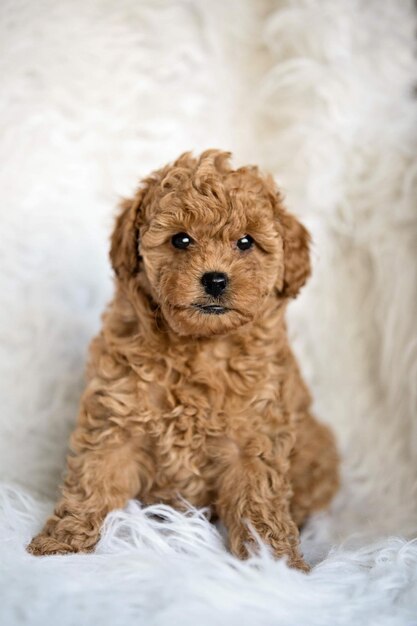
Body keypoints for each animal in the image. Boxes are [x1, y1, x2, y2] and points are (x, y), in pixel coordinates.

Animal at [27, 149, 338, 568]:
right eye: (181, 239)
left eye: (246, 242)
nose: (215, 279)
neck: (197, 346)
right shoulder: (116, 420)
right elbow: (93, 479)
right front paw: (62, 544)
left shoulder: (253, 436)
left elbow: (258, 504)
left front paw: (273, 564)